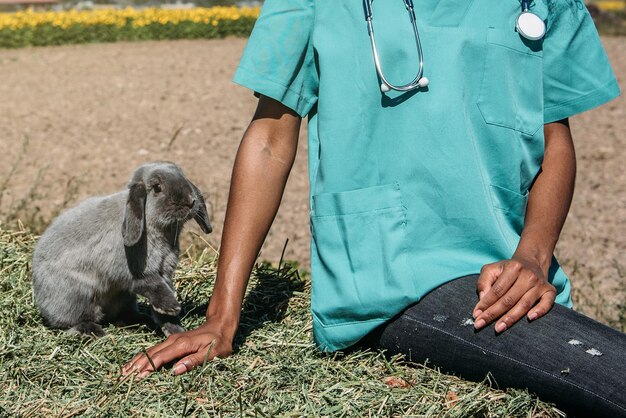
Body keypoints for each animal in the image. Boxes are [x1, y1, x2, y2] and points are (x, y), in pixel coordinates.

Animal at [31, 162, 212, 338]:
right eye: (157, 188)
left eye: (183, 176)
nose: (191, 201)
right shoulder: (136, 273)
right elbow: (155, 286)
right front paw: (172, 307)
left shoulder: (164, 272)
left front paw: (175, 329)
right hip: (76, 297)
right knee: (70, 322)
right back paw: (93, 331)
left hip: (123, 298)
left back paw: (142, 321)